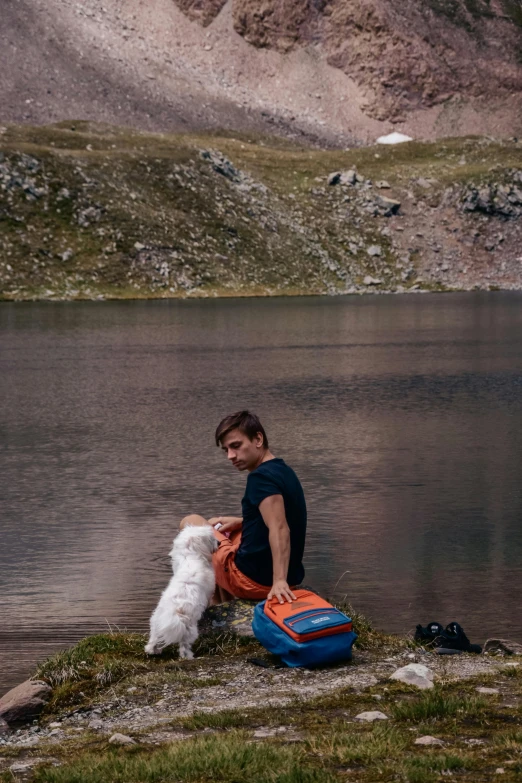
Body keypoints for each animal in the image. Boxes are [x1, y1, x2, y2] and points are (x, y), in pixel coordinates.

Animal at [143, 528, 216, 660]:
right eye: (212, 538)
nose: (219, 542)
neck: (190, 557)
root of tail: (175, 612)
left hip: (156, 623)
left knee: (153, 640)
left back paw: (153, 651)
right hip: (189, 630)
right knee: (184, 647)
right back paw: (188, 657)